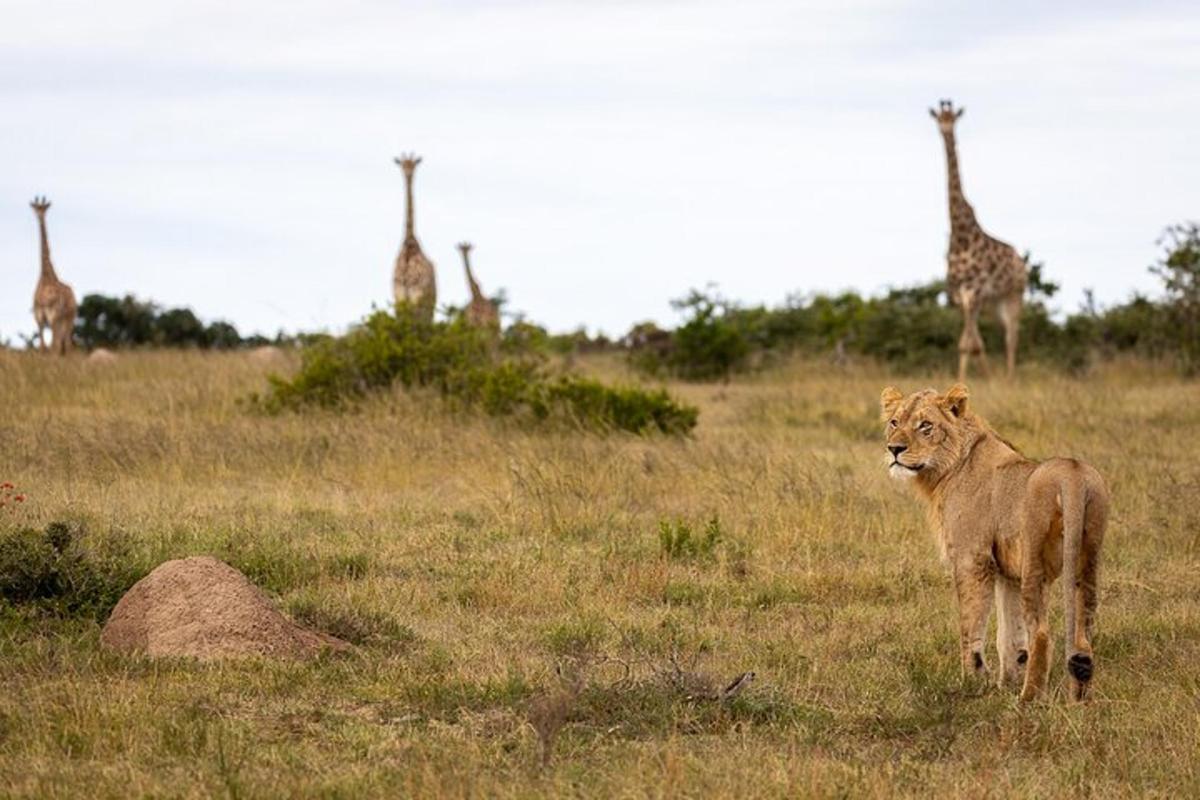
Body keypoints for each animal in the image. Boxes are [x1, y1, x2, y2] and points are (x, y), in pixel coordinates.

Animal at [29, 195, 77, 355]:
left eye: (43, 208)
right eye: (36, 208)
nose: (39, 216)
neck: (45, 276)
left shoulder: (49, 318)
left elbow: (49, 347)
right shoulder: (39, 320)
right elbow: (43, 347)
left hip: (66, 321)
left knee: (65, 345)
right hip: (58, 323)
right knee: (59, 345)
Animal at [878, 383, 1108, 700]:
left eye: (925, 425)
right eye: (894, 422)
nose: (894, 449)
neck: (947, 467)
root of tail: (1072, 477)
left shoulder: (972, 558)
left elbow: (970, 627)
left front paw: (972, 682)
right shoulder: (1007, 572)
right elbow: (1010, 637)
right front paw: (1006, 683)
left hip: (1034, 561)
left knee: (1042, 633)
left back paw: (1028, 700)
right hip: (1086, 559)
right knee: (1082, 637)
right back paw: (1078, 700)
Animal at [931, 100, 1027, 381]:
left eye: (954, 118)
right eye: (938, 118)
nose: (945, 130)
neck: (961, 237)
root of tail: (1021, 261)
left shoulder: (974, 292)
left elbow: (971, 343)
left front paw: (985, 378)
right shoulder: (960, 294)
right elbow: (969, 343)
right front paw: (964, 379)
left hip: (1014, 294)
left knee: (1012, 337)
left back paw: (1009, 378)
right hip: (995, 301)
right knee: (999, 335)